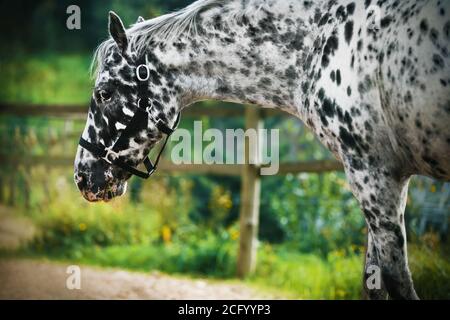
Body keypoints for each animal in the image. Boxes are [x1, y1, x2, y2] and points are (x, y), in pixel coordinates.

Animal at [74, 0, 450, 300]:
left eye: (105, 93)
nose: (82, 176)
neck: (322, 44)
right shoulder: (386, 181)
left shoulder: (373, 174)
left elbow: (396, 281)